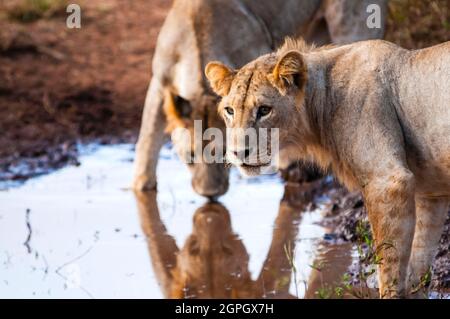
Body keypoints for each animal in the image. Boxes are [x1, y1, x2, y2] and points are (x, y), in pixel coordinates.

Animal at [133, 0, 386, 198]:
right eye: (191, 156)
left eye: (223, 154)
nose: (210, 195)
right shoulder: (159, 83)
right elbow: (146, 138)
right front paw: (140, 189)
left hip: (352, 26)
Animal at [206, 38, 450, 298]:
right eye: (230, 110)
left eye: (264, 110)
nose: (238, 152)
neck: (322, 101)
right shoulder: (431, 193)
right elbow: (419, 269)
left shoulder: (388, 181)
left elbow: (390, 270)